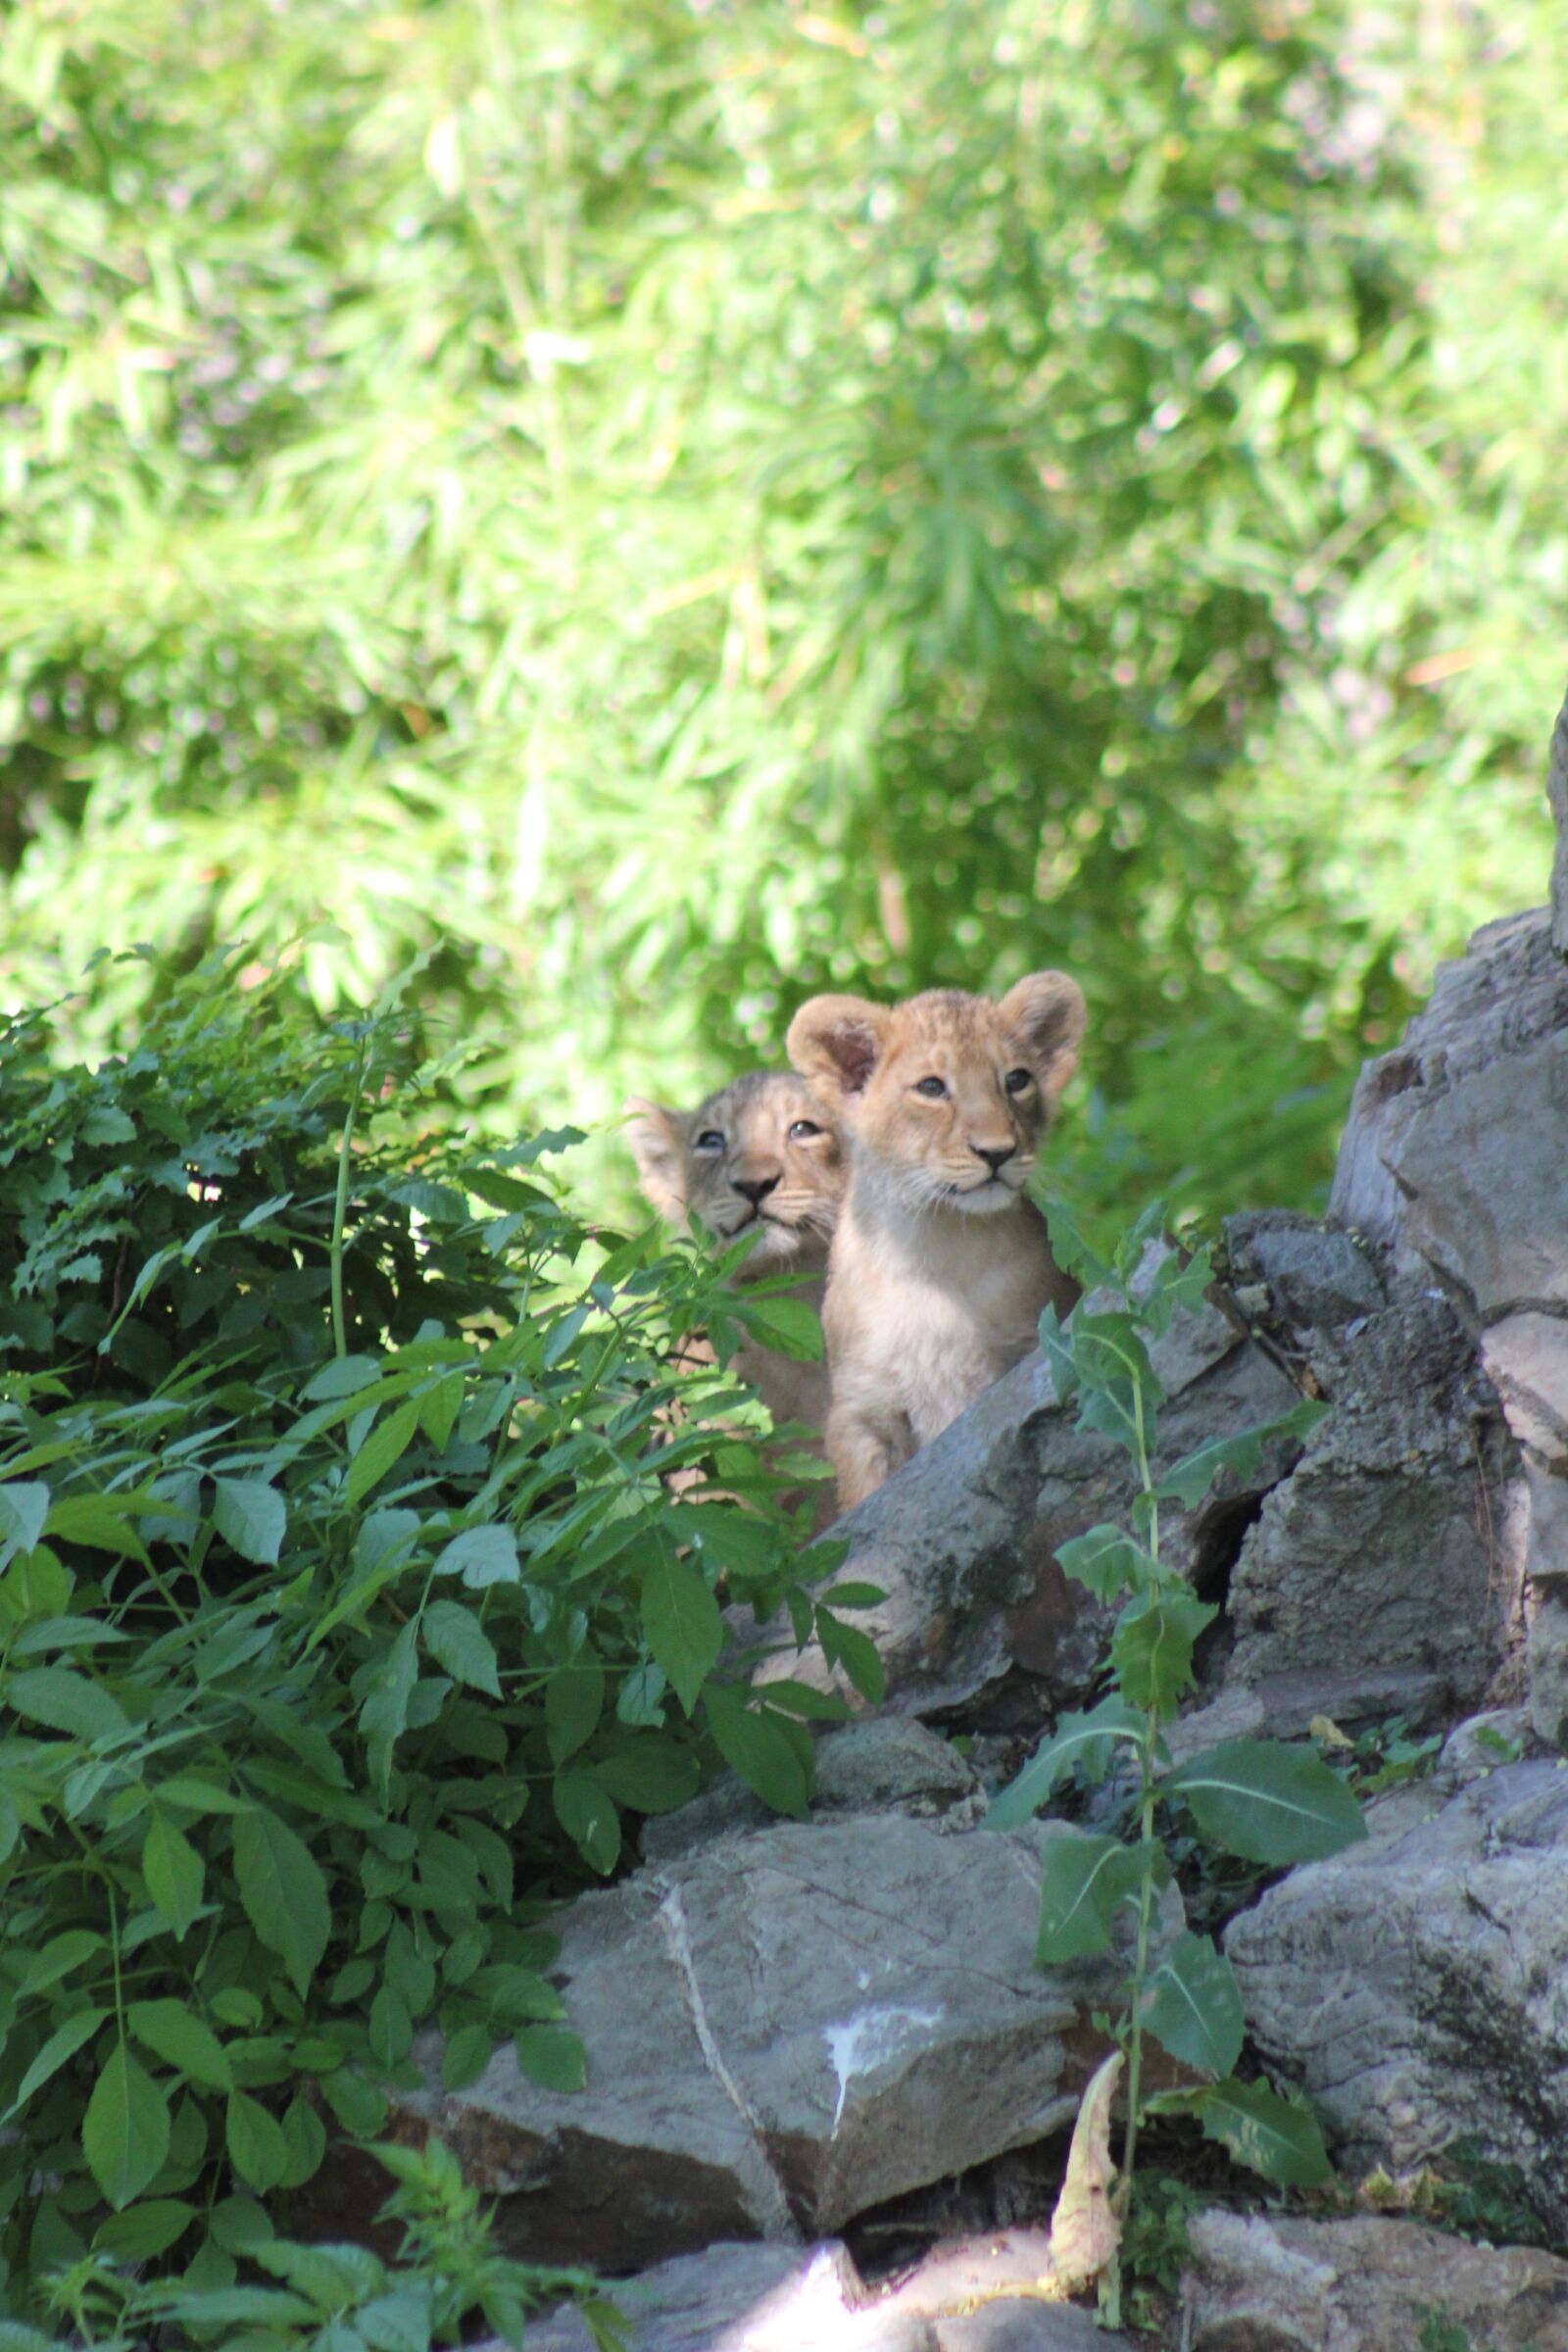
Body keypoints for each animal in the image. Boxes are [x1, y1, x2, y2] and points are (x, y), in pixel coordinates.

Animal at [786, 975, 1086, 1510]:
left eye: (1016, 1080)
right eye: (931, 1087)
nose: (998, 1152)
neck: (934, 1247)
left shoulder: (1031, 1347)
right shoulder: (862, 1408)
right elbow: (867, 1497)